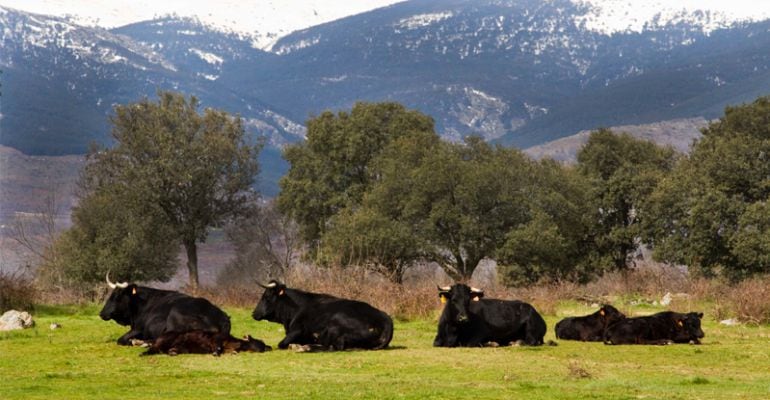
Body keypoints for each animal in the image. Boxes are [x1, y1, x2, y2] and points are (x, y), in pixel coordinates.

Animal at [97, 274, 228, 346]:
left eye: (117, 296)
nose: (101, 313)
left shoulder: (138, 329)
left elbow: (121, 339)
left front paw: (133, 341)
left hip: (174, 317)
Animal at [252, 282, 392, 350]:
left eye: (267, 296)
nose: (254, 313)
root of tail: (385, 318)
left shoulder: (297, 330)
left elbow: (281, 344)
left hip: (337, 323)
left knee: (334, 346)